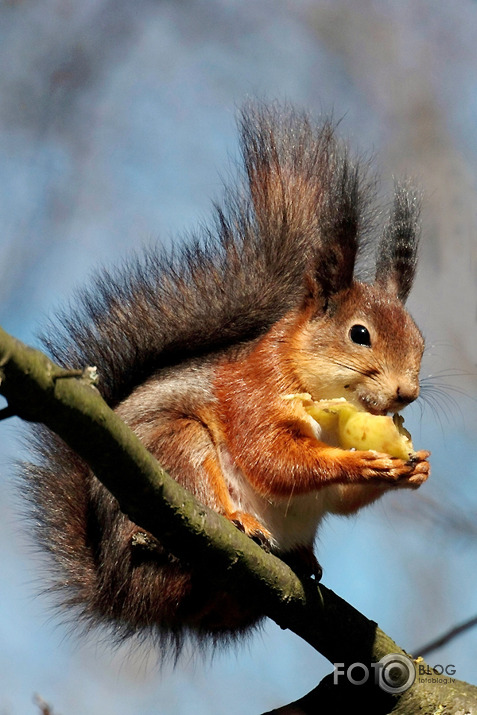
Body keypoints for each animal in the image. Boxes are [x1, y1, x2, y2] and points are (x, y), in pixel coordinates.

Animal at [25, 103, 428, 656]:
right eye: (359, 334)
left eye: (420, 339)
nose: (407, 393)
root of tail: (116, 592)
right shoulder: (251, 394)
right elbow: (271, 459)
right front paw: (356, 462)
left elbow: (336, 500)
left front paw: (414, 469)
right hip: (174, 456)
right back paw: (239, 523)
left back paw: (300, 560)